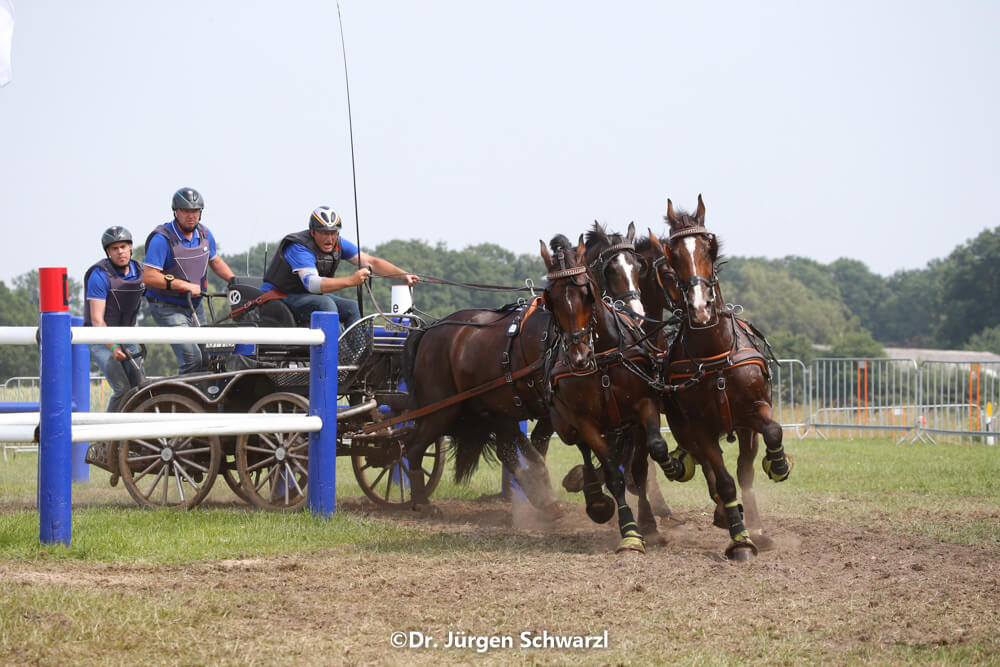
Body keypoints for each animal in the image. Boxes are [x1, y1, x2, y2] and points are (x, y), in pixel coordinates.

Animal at [541, 234, 677, 553]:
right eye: (551, 299)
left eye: (588, 294)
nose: (578, 355)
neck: (603, 353)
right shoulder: (584, 421)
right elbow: (613, 473)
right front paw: (630, 531)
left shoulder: (645, 407)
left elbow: (648, 458)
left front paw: (650, 523)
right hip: (566, 424)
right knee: (584, 449)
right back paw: (593, 495)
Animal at [640, 194, 792, 559]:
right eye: (673, 255)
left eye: (710, 248)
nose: (699, 309)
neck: (716, 354)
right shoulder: (698, 427)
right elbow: (722, 479)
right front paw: (740, 541)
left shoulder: (753, 410)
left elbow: (772, 434)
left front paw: (778, 465)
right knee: (713, 472)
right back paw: (728, 515)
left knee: (746, 469)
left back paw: (755, 522)